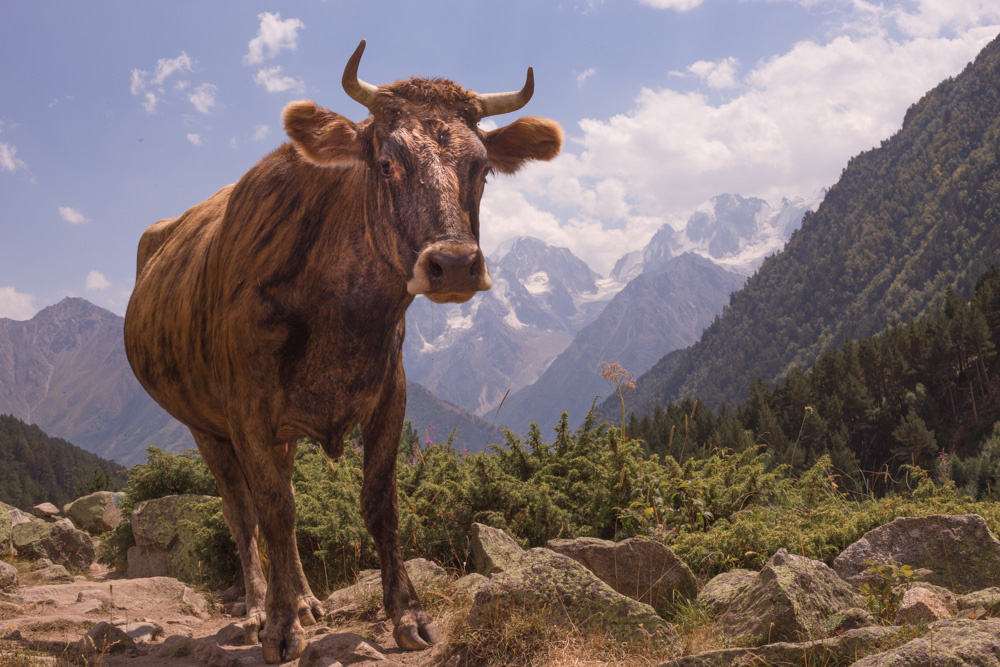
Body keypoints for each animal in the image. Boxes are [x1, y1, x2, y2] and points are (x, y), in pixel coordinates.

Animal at [123, 40, 562, 663]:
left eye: (482, 169)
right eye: (386, 163)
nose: (454, 264)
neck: (344, 315)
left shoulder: (389, 394)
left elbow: (378, 502)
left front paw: (407, 615)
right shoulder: (247, 409)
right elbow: (274, 511)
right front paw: (281, 627)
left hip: (278, 434)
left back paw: (307, 600)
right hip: (204, 424)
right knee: (242, 511)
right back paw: (259, 609)